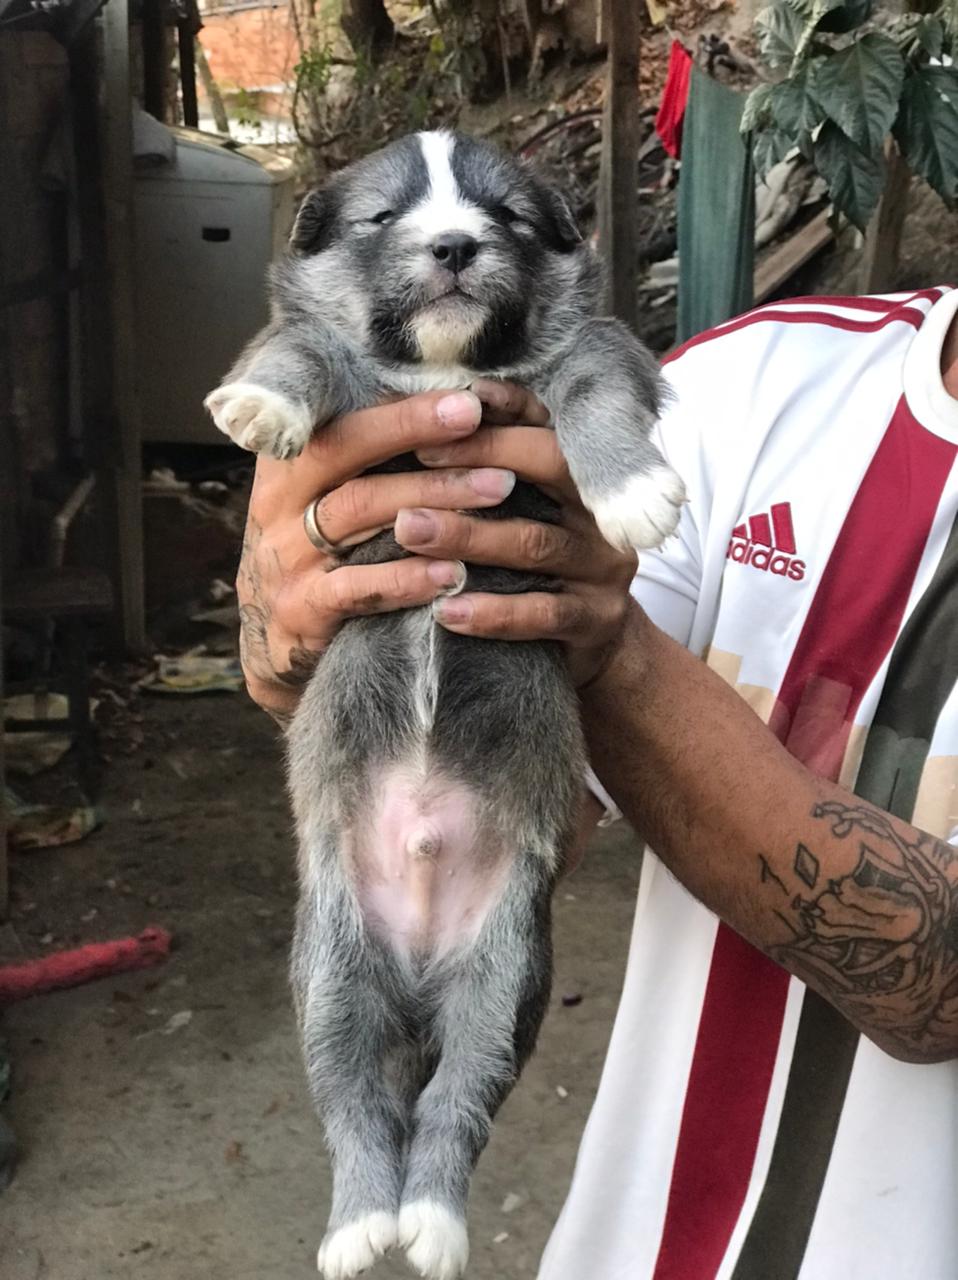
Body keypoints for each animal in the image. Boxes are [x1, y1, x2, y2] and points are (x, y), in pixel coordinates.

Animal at [206, 132, 686, 1280]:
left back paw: (429, 1222)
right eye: (384, 220)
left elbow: (595, 389)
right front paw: (263, 406)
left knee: (452, 1106)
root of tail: (421, 975)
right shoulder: (347, 371)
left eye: (506, 214)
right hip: (328, 978)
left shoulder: (599, 348)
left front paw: (631, 492)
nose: (457, 246)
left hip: (506, 980)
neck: (446, 368)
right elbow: (298, 348)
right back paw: (357, 1224)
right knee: (355, 1104)